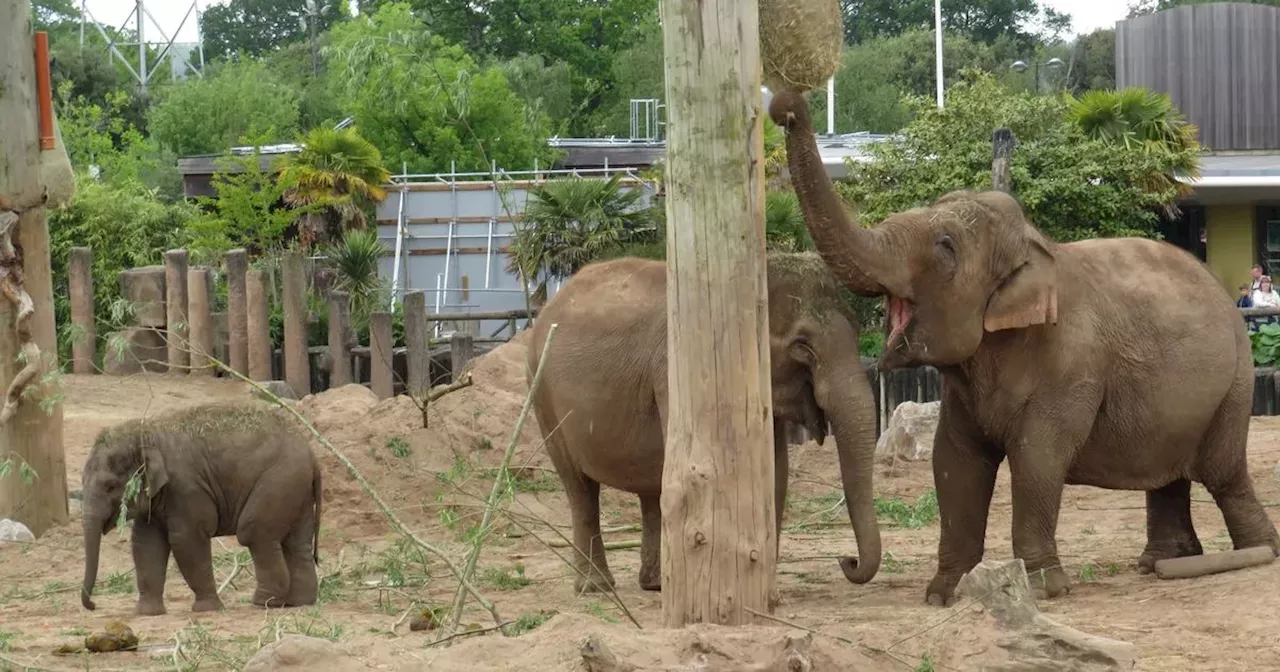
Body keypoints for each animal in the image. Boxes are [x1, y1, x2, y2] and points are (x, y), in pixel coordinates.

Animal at [80, 401, 322, 616]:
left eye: (110, 486)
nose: (93, 605)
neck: (147, 432)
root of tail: (312, 454)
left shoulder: (187, 487)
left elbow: (186, 539)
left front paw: (207, 609)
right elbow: (145, 544)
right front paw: (147, 613)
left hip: (278, 481)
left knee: (254, 533)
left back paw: (264, 603)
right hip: (296, 490)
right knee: (297, 543)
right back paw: (299, 602)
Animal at [527, 250, 880, 591]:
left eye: (857, 329)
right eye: (802, 345)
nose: (847, 561)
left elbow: (774, 469)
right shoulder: (676, 368)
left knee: (651, 488)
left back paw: (655, 584)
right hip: (543, 397)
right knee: (580, 488)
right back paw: (596, 587)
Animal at [768, 86, 1280, 604]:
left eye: (946, 246)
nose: (784, 106)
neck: (1035, 245)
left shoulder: (1072, 365)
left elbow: (1038, 457)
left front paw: (1041, 589)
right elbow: (953, 461)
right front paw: (943, 595)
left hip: (1233, 385)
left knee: (1222, 471)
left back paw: (1256, 554)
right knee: (1170, 473)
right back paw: (1161, 562)